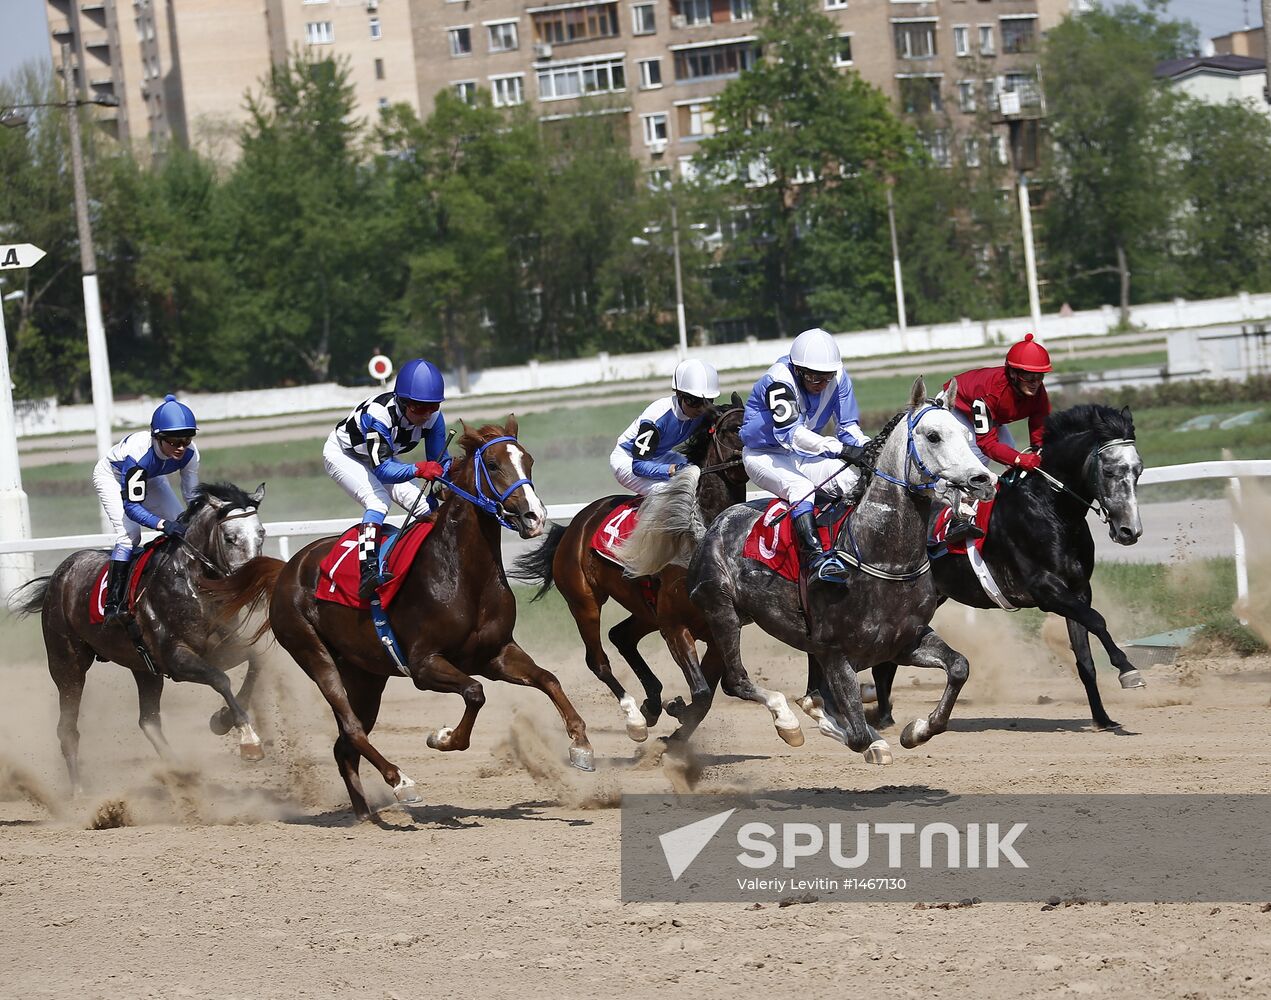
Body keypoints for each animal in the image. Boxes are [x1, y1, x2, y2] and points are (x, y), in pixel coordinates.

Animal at [12, 480, 282, 792]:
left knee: (148, 721)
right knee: (67, 727)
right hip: (66, 663)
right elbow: (221, 679)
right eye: (229, 537)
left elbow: (256, 661)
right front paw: (248, 739)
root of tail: (61, 573)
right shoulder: (176, 658)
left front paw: (222, 719)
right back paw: (79, 790)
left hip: (143, 667)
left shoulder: (221, 649)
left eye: (262, 533)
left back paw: (180, 772)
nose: (253, 586)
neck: (191, 583)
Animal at [265, 419, 592, 818]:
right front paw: (443, 737)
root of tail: (288, 568)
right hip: (314, 653)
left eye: (528, 460)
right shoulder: (424, 665)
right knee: (353, 728)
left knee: (345, 746)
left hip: (365, 675)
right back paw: (401, 781)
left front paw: (581, 745)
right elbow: (475, 692)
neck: (463, 575)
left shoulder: (495, 654)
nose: (535, 517)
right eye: (493, 464)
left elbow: (549, 679)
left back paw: (364, 815)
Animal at [505, 393, 742, 747]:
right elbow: (700, 693)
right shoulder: (675, 625)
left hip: (644, 609)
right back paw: (636, 718)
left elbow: (707, 695)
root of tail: (574, 525)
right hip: (585, 602)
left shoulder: (716, 629)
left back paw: (652, 702)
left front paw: (676, 718)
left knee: (621, 635)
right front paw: (675, 712)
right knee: (598, 660)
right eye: (736, 427)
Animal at [620, 378, 996, 762]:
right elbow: (852, 731)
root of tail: (709, 526)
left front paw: (918, 729)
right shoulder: (835, 652)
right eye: (933, 436)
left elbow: (959, 666)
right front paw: (837, 724)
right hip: (720, 612)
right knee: (736, 680)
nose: (983, 480)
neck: (884, 558)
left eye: (966, 434)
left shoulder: (905, 642)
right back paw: (785, 721)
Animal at [869, 404, 1148, 731]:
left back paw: (884, 717)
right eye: (1109, 470)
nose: (1130, 531)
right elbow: (1098, 620)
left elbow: (1085, 658)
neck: (1052, 510)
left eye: (1138, 469)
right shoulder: (1046, 590)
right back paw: (881, 717)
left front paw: (1102, 718)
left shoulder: (1078, 591)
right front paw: (1128, 670)